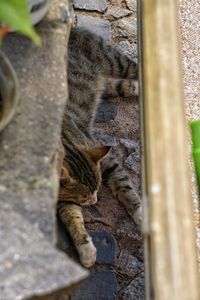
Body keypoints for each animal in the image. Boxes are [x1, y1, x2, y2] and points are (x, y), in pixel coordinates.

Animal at [57, 28, 141, 268]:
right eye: (85, 196)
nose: (95, 201)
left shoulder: (106, 158)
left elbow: (125, 186)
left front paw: (141, 214)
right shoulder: (63, 197)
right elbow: (72, 218)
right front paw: (85, 249)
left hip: (114, 60)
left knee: (135, 67)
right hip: (106, 80)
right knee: (118, 85)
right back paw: (134, 87)